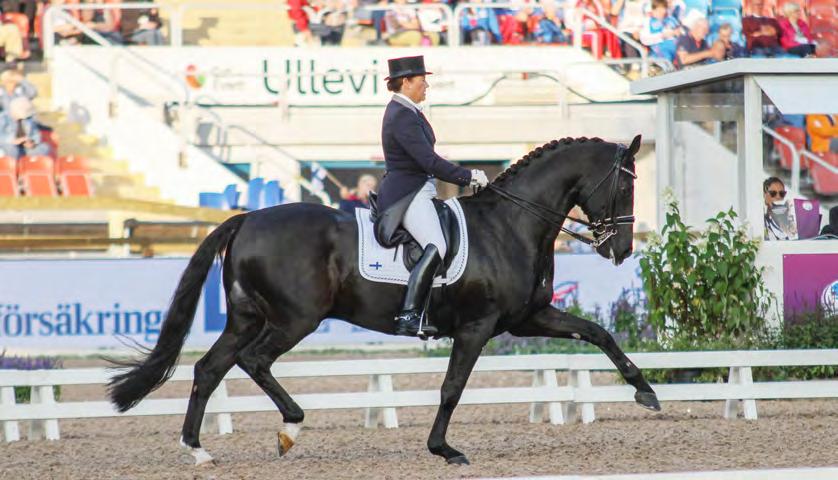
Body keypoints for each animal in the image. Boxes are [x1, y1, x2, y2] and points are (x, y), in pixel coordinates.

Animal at [110, 134, 664, 464]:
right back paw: (289, 428)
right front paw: (443, 449)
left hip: (247, 317)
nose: (620, 249)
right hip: (294, 319)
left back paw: (197, 449)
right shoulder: (477, 327)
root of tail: (247, 217)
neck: (511, 224)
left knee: (210, 368)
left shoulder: (528, 317)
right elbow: (452, 388)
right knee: (254, 361)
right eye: (625, 188)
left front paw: (646, 392)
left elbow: (598, 332)